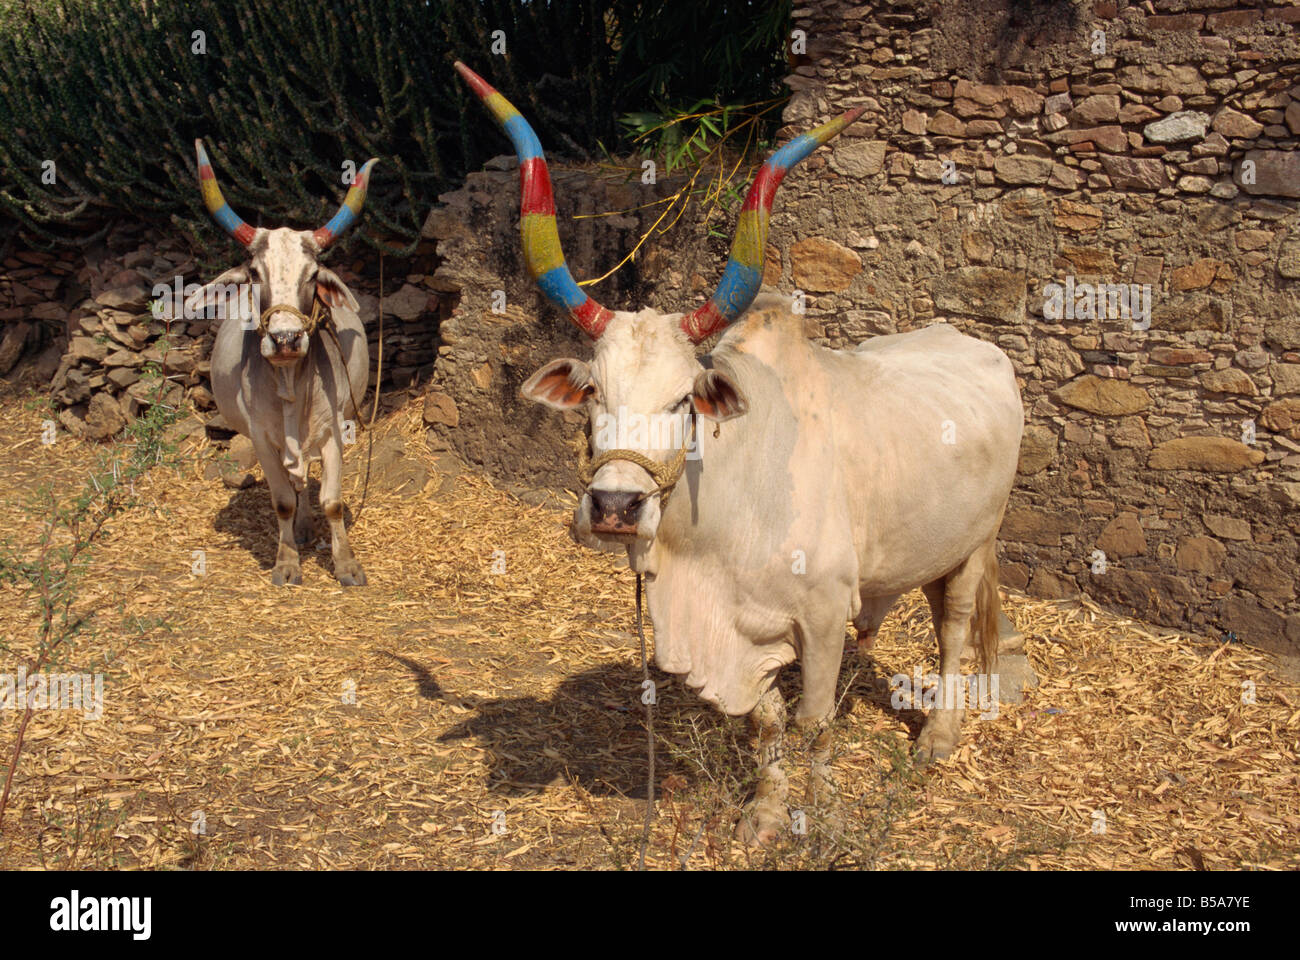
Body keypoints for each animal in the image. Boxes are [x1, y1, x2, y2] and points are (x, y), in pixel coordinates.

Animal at [186, 139, 375, 587]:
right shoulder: (261, 439)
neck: (291, 380)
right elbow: (283, 500)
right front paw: (287, 561)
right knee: (294, 484)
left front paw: (346, 564)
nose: (286, 339)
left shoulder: (333, 432)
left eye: (313, 274)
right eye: (255, 273)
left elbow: (332, 501)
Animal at [456, 63, 1024, 843]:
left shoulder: (822, 617)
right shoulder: (750, 636)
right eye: (594, 392)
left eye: (683, 400)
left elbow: (816, 723)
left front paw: (823, 814)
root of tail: (974, 344)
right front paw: (764, 813)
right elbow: (768, 723)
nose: (614, 505)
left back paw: (938, 735)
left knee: (954, 626)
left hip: (978, 542)